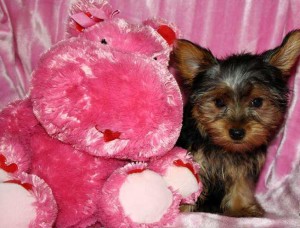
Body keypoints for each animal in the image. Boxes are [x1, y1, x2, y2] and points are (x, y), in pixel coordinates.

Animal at [171, 29, 300, 216]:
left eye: (257, 102)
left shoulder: (245, 164)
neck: (225, 149)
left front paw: (242, 207)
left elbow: (242, 182)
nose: (237, 132)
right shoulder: (195, 157)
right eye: (218, 102)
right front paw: (182, 208)